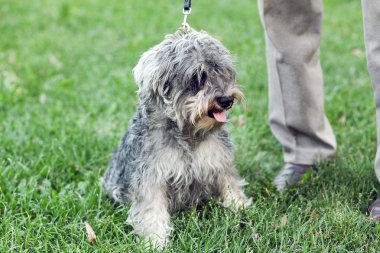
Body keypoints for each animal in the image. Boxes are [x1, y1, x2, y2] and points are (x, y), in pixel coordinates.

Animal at [103, 29, 252, 247]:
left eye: (223, 72)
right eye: (198, 76)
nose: (226, 100)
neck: (188, 132)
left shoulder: (219, 161)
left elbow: (230, 183)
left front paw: (239, 206)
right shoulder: (151, 177)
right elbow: (151, 210)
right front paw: (155, 240)